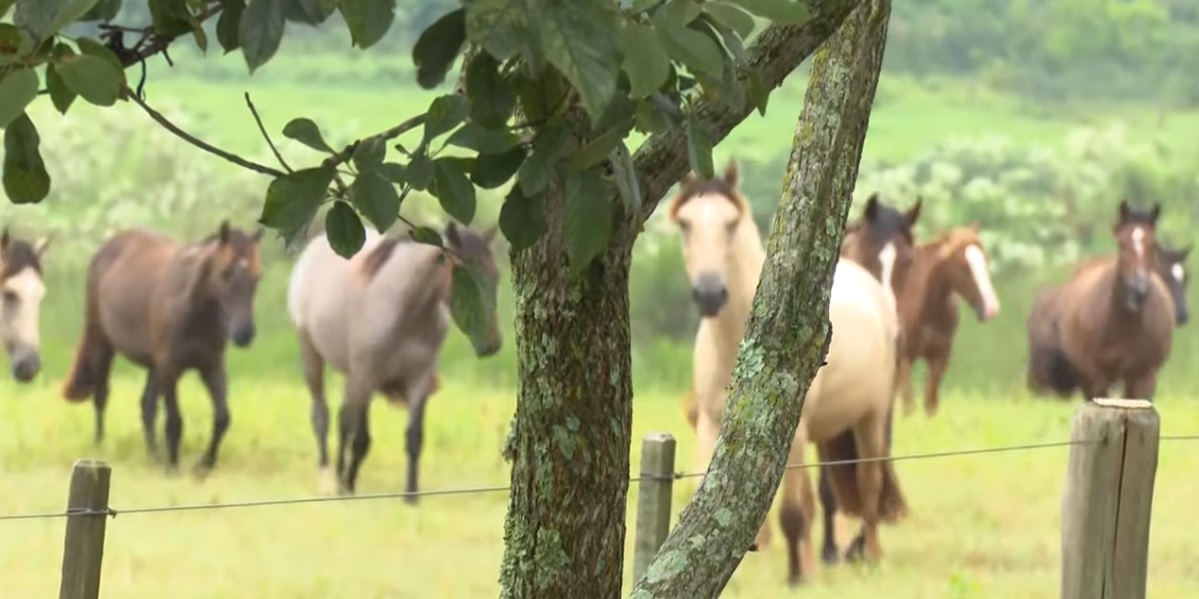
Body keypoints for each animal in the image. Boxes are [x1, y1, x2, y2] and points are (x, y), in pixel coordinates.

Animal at [61, 222, 265, 475]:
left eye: (257, 277)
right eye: (225, 272)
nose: (244, 334)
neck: (192, 308)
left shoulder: (211, 366)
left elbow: (222, 417)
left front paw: (204, 464)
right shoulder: (170, 366)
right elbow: (175, 420)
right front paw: (173, 467)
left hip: (153, 365)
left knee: (147, 407)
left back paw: (155, 457)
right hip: (102, 341)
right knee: (101, 394)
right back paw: (100, 447)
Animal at [286, 221, 503, 498]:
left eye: (496, 276)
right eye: (464, 278)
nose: (492, 344)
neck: (405, 309)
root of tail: (315, 246)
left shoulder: (418, 379)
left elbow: (414, 438)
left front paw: (411, 496)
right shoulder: (367, 375)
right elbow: (361, 438)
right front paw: (347, 486)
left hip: (352, 375)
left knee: (343, 419)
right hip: (314, 357)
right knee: (323, 416)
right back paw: (327, 478)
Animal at [669, 164, 907, 585]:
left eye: (731, 223)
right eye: (685, 223)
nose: (710, 293)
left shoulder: (792, 431)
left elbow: (795, 512)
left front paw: (798, 578)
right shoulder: (712, 425)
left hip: (871, 417)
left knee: (868, 483)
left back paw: (871, 556)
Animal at [890, 224, 1001, 418]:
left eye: (986, 260)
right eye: (963, 266)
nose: (991, 308)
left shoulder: (940, 357)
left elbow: (930, 403)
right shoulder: (904, 358)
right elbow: (909, 405)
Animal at [1049, 200, 1174, 401]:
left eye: (1154, 245)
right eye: (1121, 244)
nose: (1139, 291)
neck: (1124, 324)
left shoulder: (1144, 376)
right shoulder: (1100, 377)